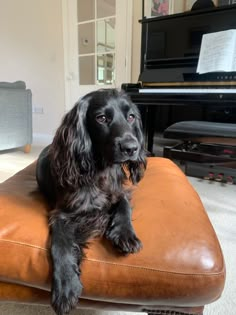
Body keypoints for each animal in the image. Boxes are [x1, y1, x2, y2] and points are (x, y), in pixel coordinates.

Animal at [35, 89, 146, 315]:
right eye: (101, 118)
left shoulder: (118, 192)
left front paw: (125, 234)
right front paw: (66, 286)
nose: (131, 148)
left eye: (131, 117)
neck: (101, 171)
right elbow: (60, 245)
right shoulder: (62, 213)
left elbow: (124, 206)